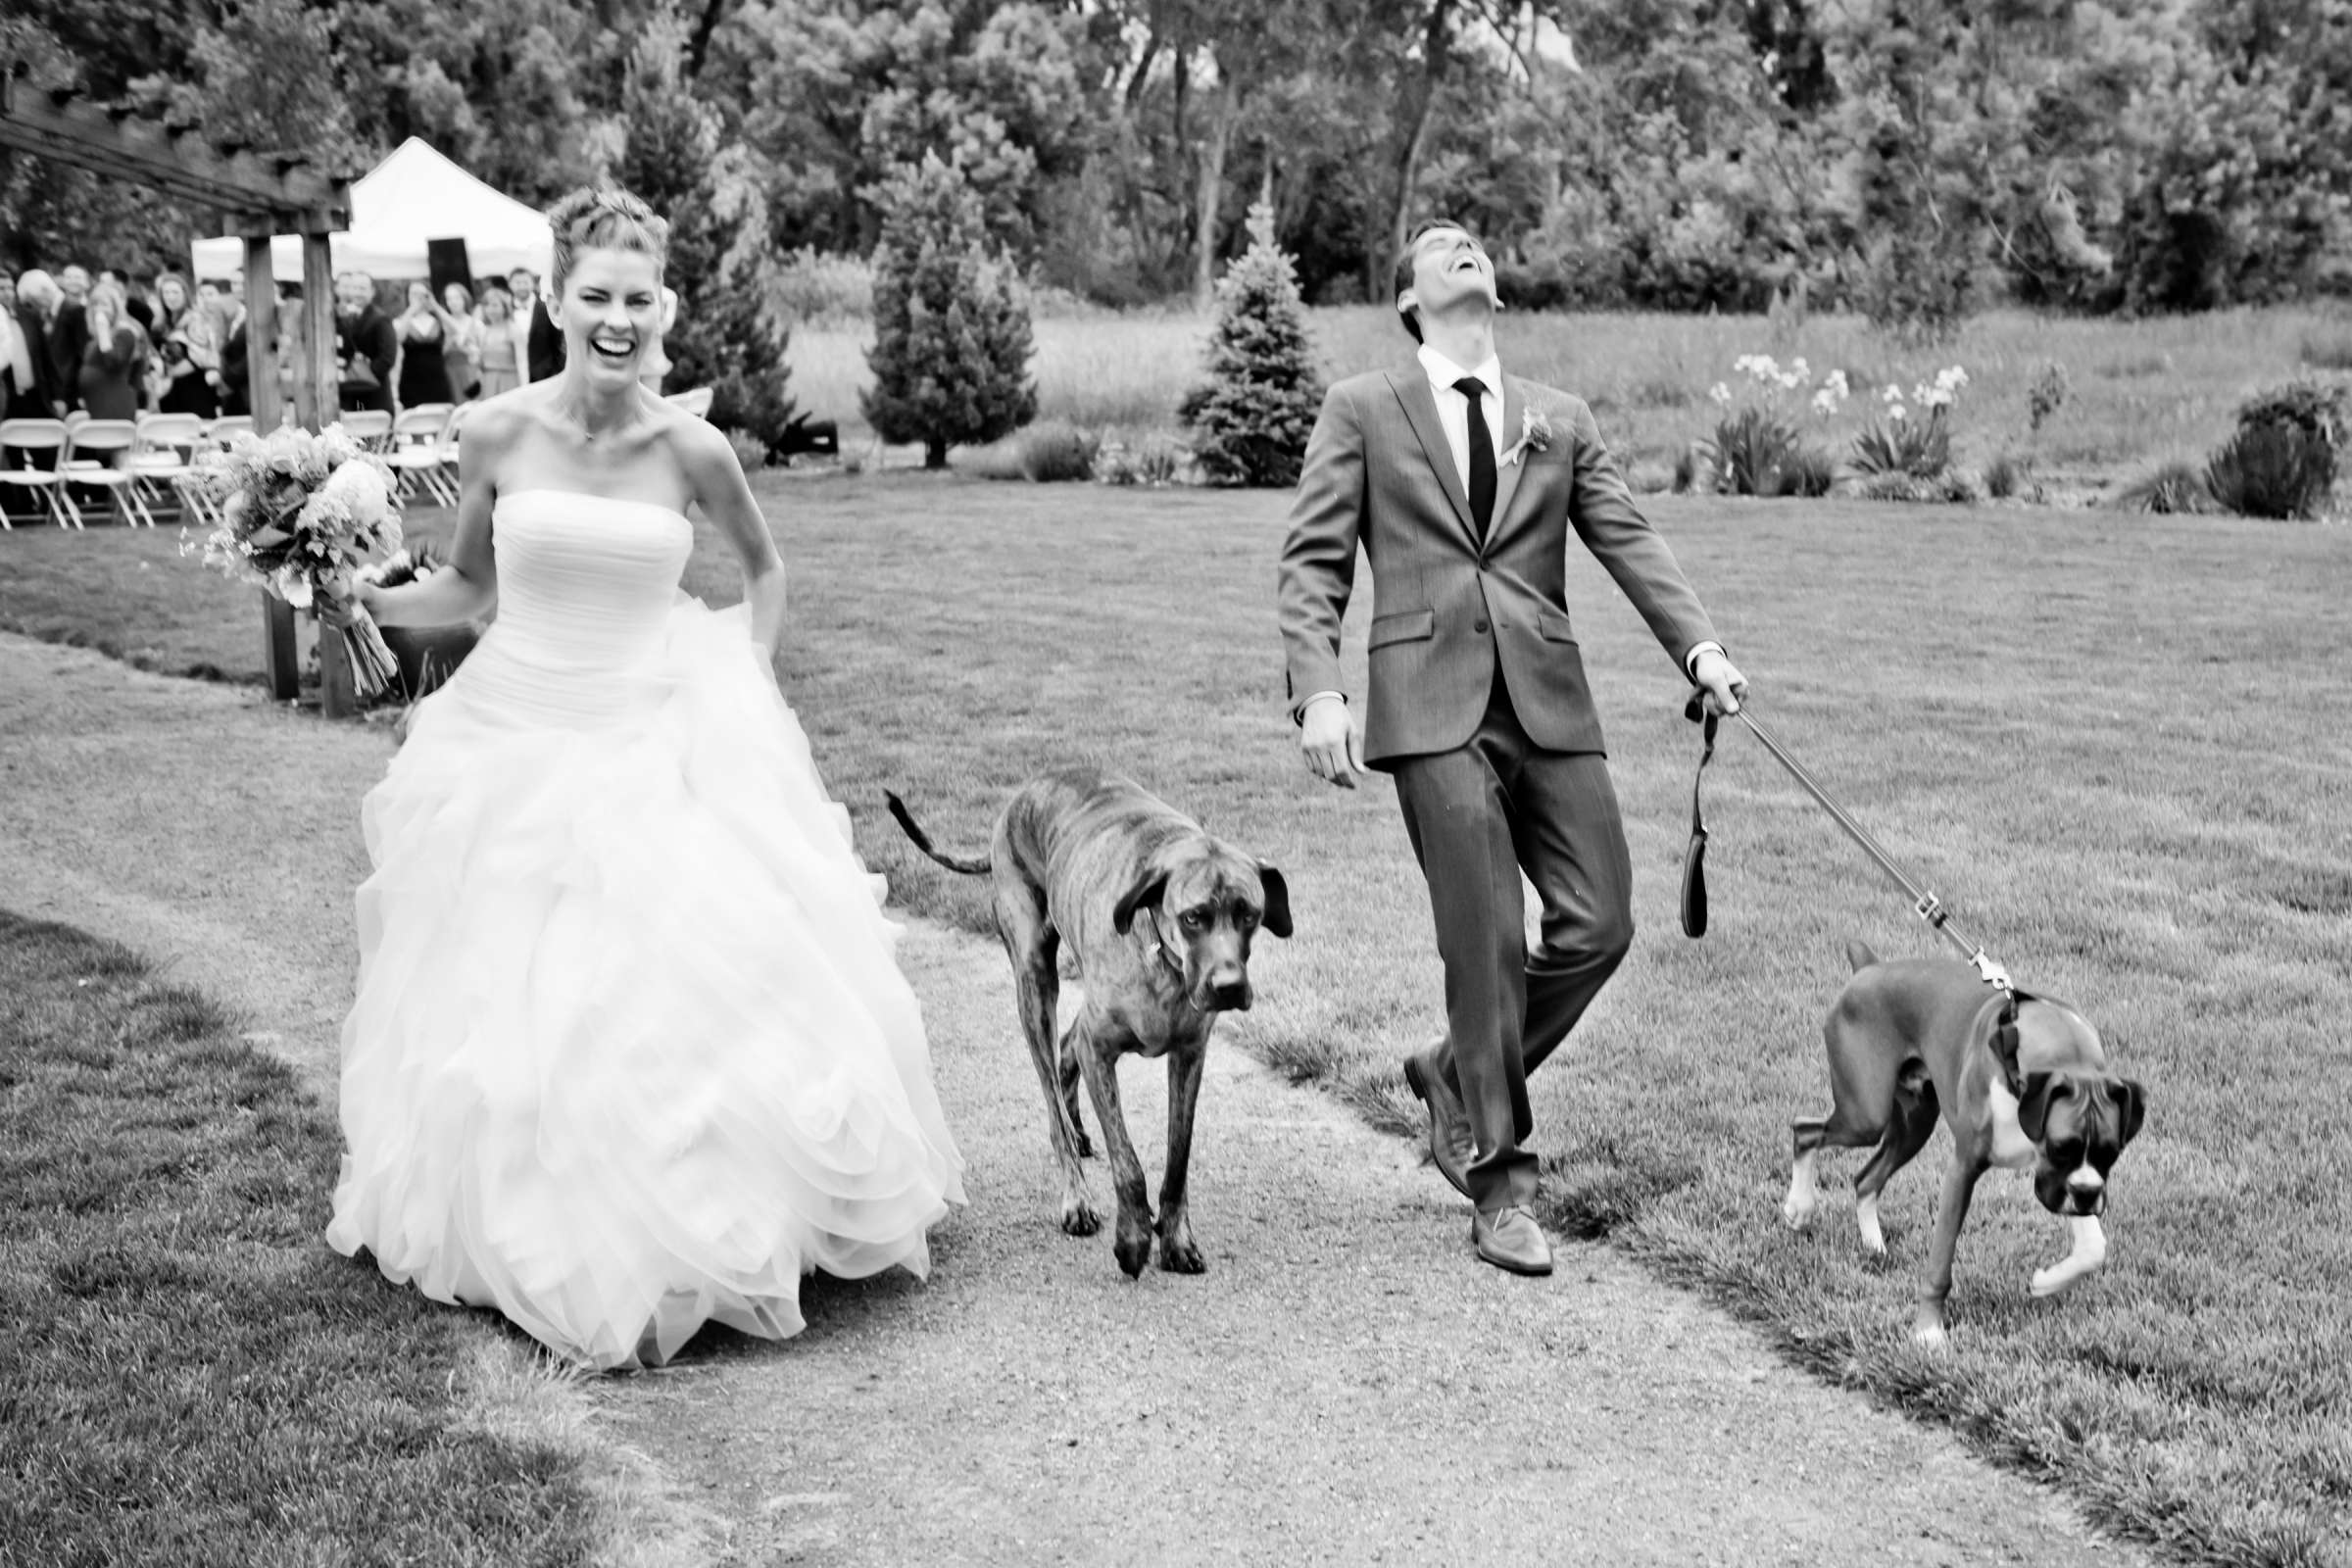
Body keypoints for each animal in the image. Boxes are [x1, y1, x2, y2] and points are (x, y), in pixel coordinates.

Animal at [884, 766, 1298, 1278]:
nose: (1228, 987)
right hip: (1034, 978)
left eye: (1249, 915)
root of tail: (1019, 799)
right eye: (1193, 917)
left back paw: (1080, 1130)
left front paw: (1176, 1237)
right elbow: (1128, 1163)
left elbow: (1177, 1159)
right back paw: (1076, 1194)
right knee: (1053, 1102)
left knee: (1067, 1047)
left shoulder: (1189, 1057)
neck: (1164, 963)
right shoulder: (1100, 1053)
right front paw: (1134, 1237)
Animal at [1778, 940, 2154, 1345]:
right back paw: (1800, 1207)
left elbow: (2093, 1248)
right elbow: (1940, 1264)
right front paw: (1928, 1331)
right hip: (1866, 1115)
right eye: (2060, 1147)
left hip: (1914, 1125)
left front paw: (2047, 1282)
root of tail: (1869, 969)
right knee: (1804, 1129)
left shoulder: (2065, 1182)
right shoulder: (1965, 1169)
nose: (2087, 1196)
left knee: (1865, 1179)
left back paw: (1873, 1247)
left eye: (2111, 1153)